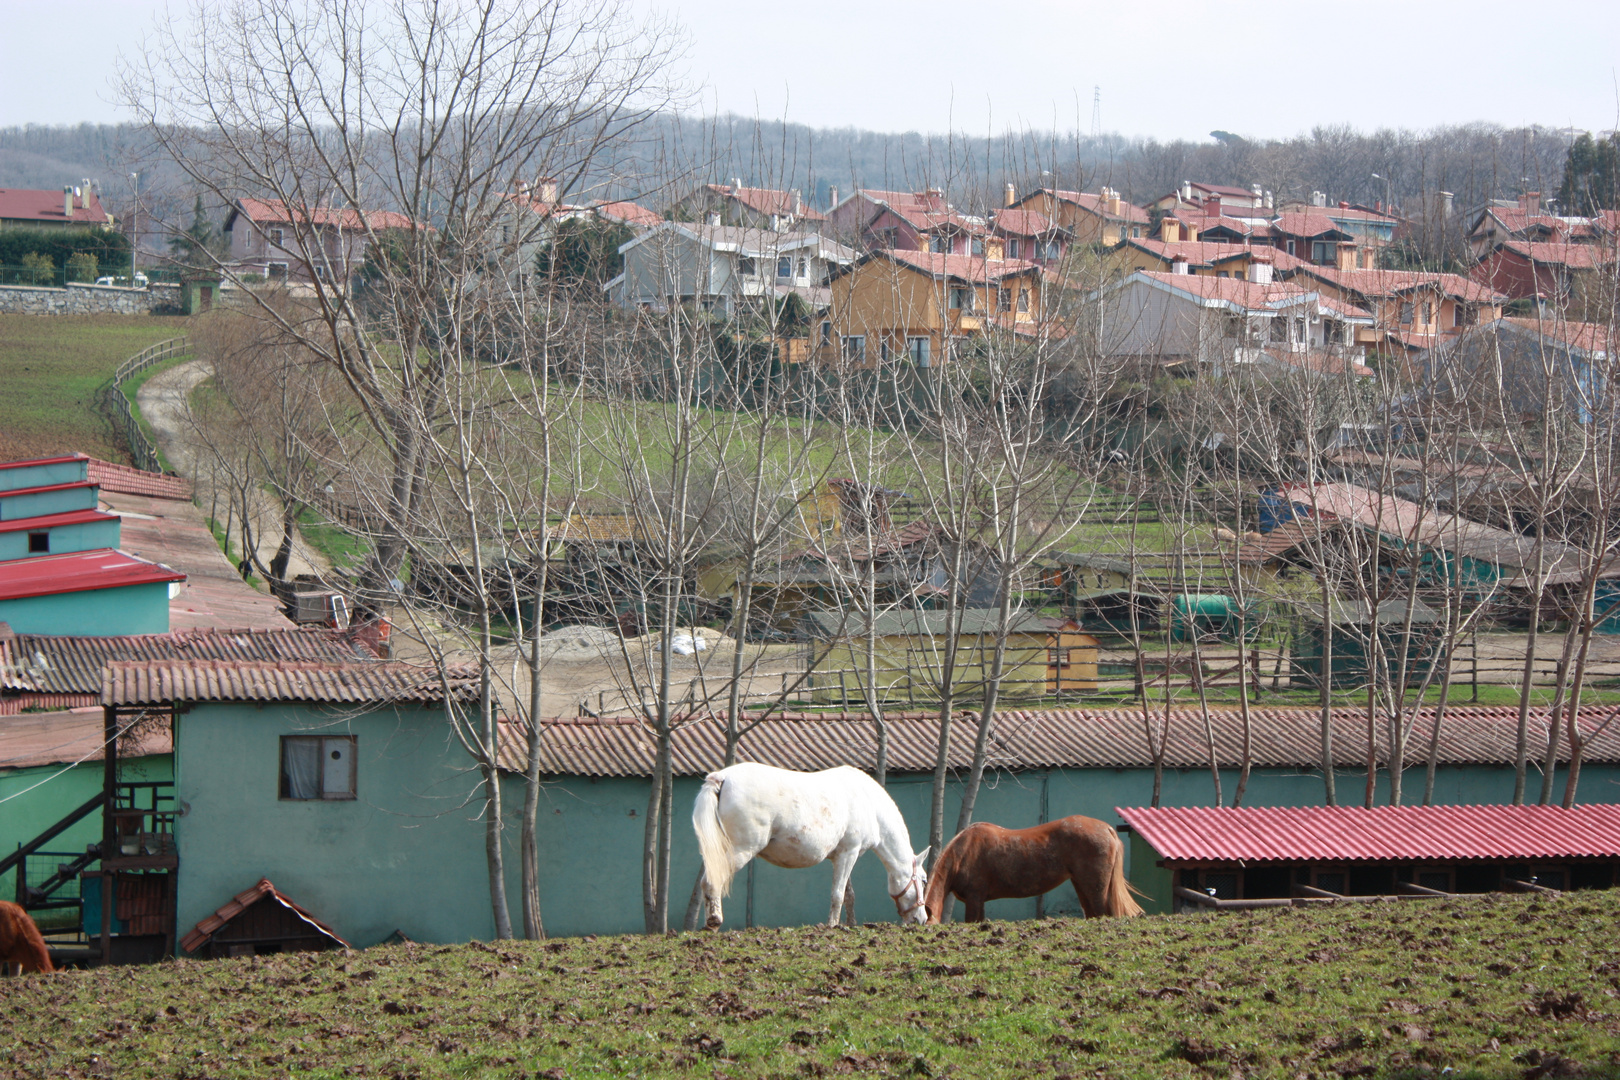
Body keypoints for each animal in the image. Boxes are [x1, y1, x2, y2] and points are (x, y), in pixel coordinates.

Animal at [690, 761, 933, 932]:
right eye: (923, 880)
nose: (922, 919)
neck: (869, 804)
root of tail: (722, 777)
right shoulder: (849, 853)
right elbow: (837, 894)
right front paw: (832, 925)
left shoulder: (845, 855)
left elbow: (848, 894)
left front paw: (850, 924)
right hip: (741, 850)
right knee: (712, 881)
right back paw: (714, 921)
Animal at [933, 816, 1146, 926]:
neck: (963, 852)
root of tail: (1107, 829)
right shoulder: (979, 901)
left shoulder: (974, 898)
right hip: (1081, 885)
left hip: (1096, 888)